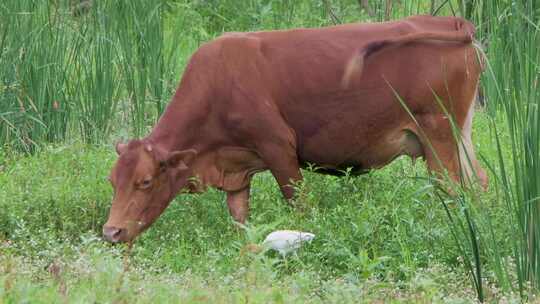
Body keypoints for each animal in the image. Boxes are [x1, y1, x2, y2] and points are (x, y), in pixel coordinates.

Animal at [103, 15, 488, 243]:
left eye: (145, 181)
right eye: (112, 181)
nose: (111, 231)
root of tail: (452, 21)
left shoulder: (279, 149)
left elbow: (299, 207)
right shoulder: (237, 173)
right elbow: (241, 220)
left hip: (438, 138)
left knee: (454, 190)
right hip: (459, 137)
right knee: (477, 183)